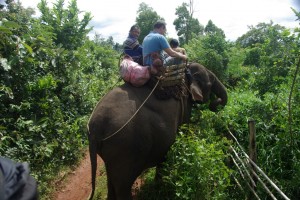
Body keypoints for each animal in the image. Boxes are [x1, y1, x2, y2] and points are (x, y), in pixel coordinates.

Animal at [86, 62, 227, 198]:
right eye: (210, 84)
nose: (214, 104)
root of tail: (95, 129)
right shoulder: (185, 107)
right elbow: (183, 132)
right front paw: (160, 186)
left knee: (111, 181)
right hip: (124, 148)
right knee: (123, 185)